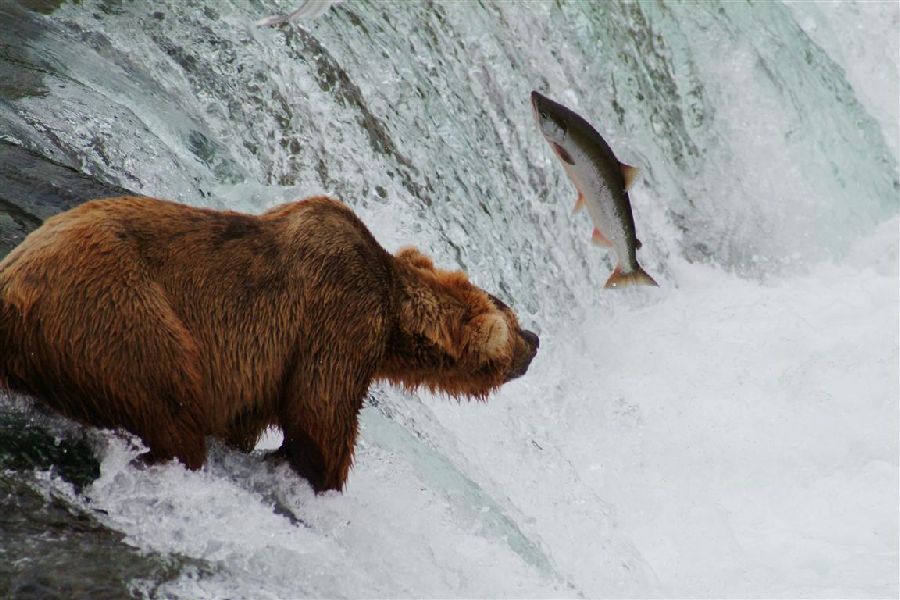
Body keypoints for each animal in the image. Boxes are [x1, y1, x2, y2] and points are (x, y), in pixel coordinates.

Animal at [0, 197, 536, 492]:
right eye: (511, 320)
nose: (536, 339)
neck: (392, 315)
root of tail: (12, 291)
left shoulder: (258, 371)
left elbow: (250, 421)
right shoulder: (337, 318)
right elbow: (320, 415)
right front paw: (319, 478)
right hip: (117, 314)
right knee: (171, 404)